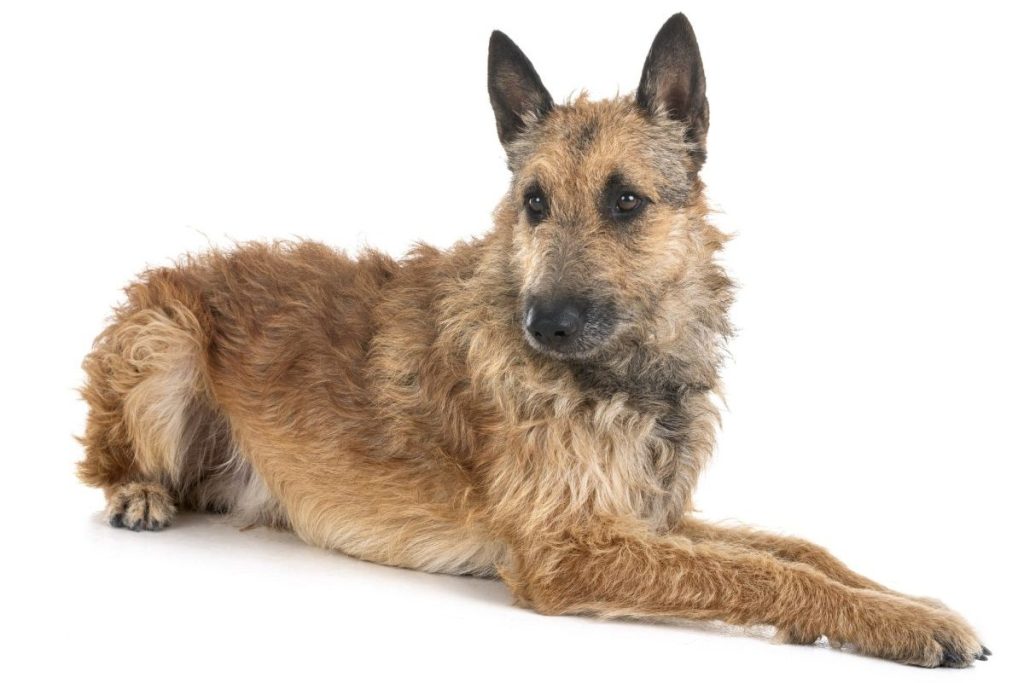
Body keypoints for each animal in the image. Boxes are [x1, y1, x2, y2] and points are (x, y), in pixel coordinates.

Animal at [75, 14, 987, 667]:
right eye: (535, 203)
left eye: (626, 200)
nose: (543, 324)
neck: (627, 375)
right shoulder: (569, 549)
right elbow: (757, 572)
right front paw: (896, 622)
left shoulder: (651, 515)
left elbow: (800, 547)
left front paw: (903, 602)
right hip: (164, 340)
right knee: (113, 458)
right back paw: (139, 492)